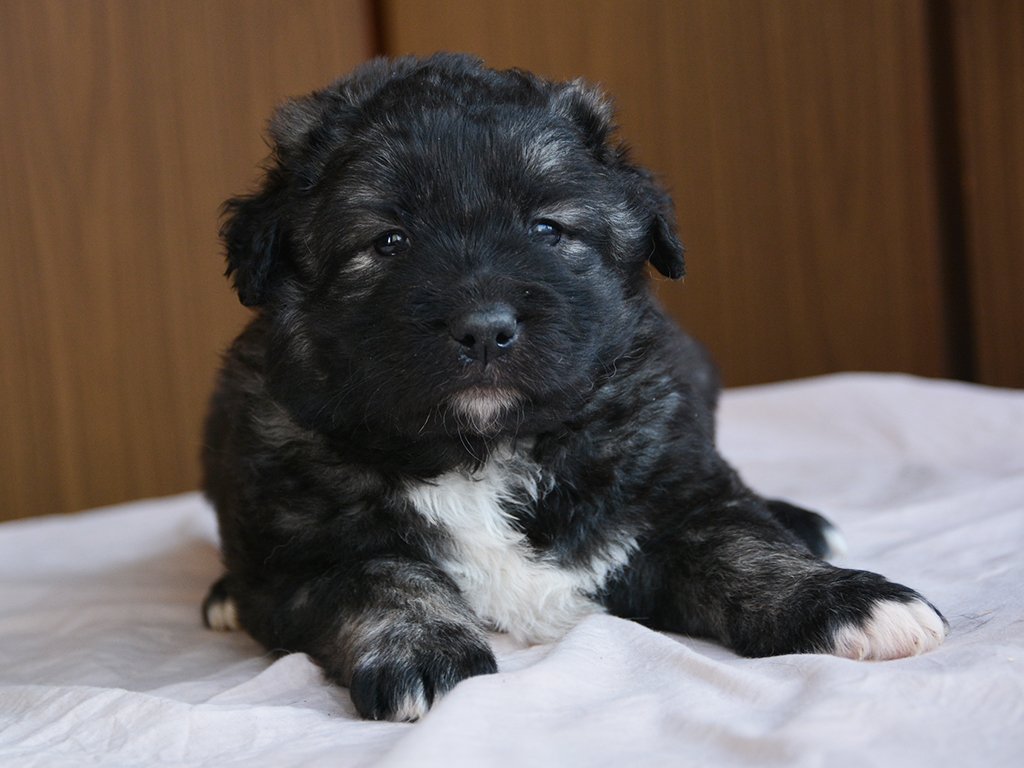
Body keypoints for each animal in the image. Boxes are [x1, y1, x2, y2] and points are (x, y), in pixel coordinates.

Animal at [203, 54, 946, 720]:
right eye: (388, 241)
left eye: (547, 228)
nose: (484, 330)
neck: (484, 448)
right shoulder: (302, 559)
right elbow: (380, 577)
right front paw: (426, 649)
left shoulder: (675, 495)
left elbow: (741, 546)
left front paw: (849, 602)